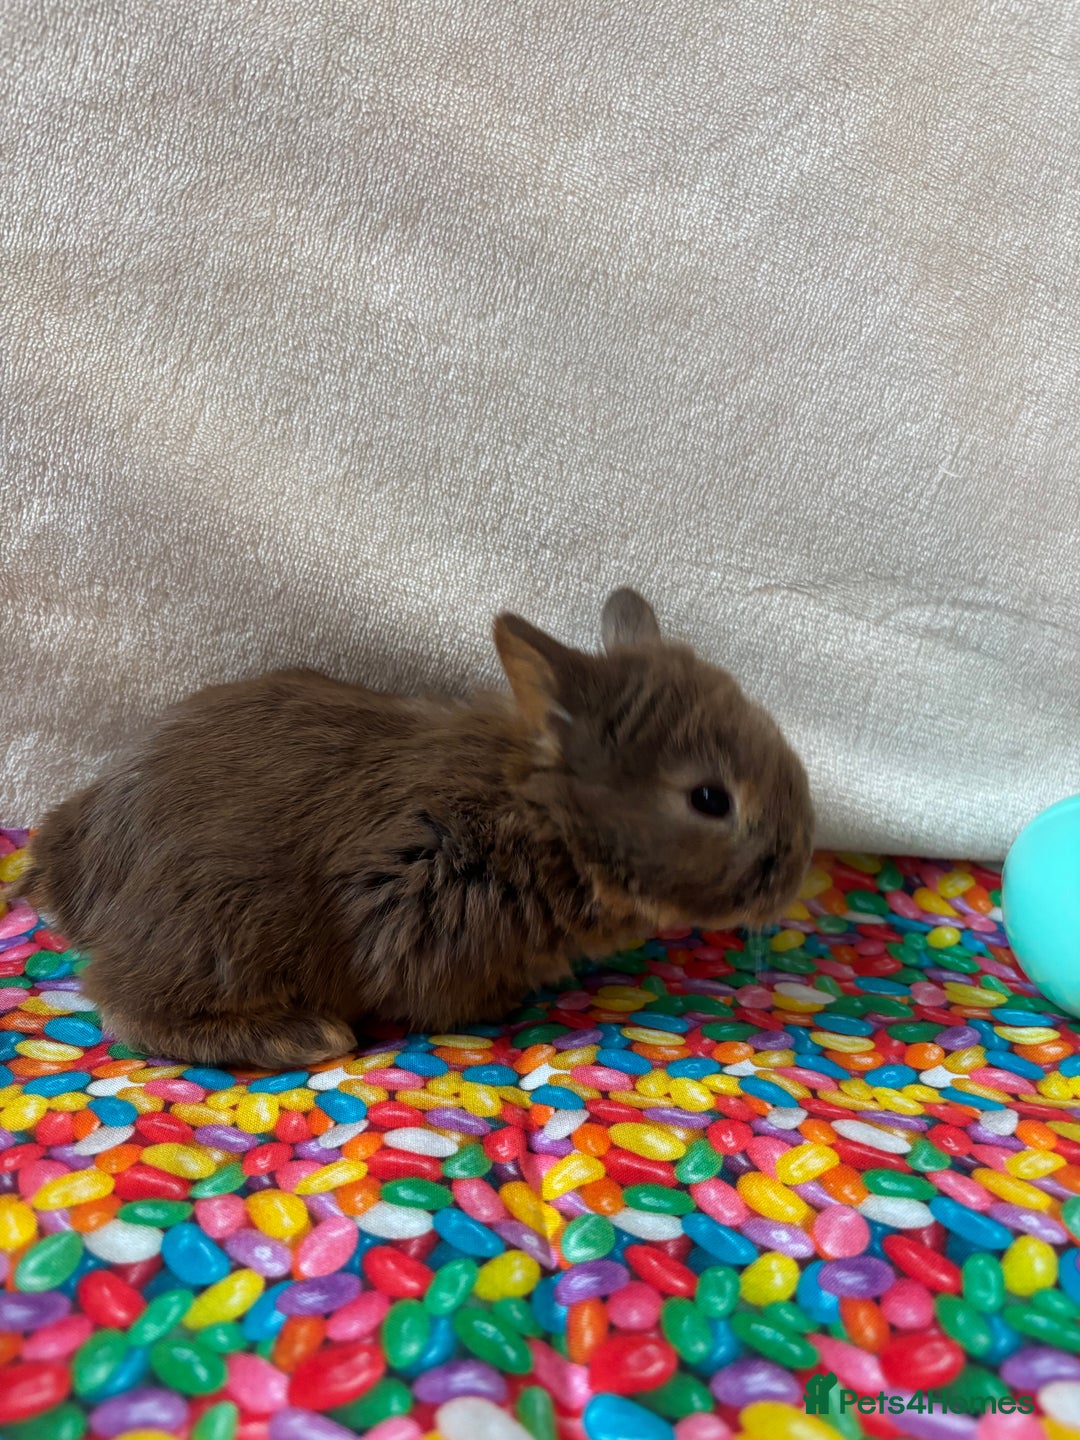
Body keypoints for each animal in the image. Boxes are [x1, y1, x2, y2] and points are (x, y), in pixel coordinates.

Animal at [16, 589, 814, 1069]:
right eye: (710, 798)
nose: (800, 862)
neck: (540, 815)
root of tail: (79, 873)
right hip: (220, 925)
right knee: (126, 1003)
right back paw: (301, 1034)